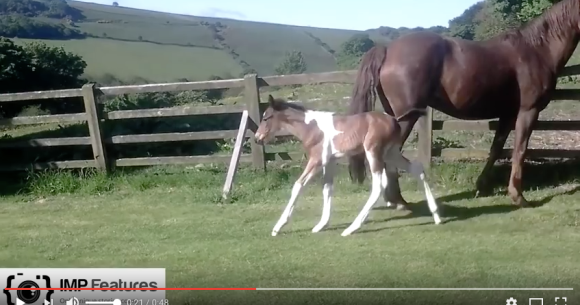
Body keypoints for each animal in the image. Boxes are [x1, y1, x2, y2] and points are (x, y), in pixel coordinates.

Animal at [256, 94, 442, 235]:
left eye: (265, 117)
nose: (258, 138)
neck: (311, 128)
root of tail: (395, 120)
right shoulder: (329, 161)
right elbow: (327, 188)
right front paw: (321, 225)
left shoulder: (316, 160)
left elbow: (298, 185)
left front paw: (278, 227)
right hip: (391, 153)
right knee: (417, 169)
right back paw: (436, 215)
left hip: (373, 152)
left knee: (378, 185)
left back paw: (352, 228)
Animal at [346, 0, 576, 208]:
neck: (537, 50)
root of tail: (387, 50)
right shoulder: (528, 111)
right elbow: (519, 151)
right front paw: (518, 197)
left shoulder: (507, 114)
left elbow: (496, 149)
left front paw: (481, 186)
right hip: (405, 119)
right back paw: (399, 201)